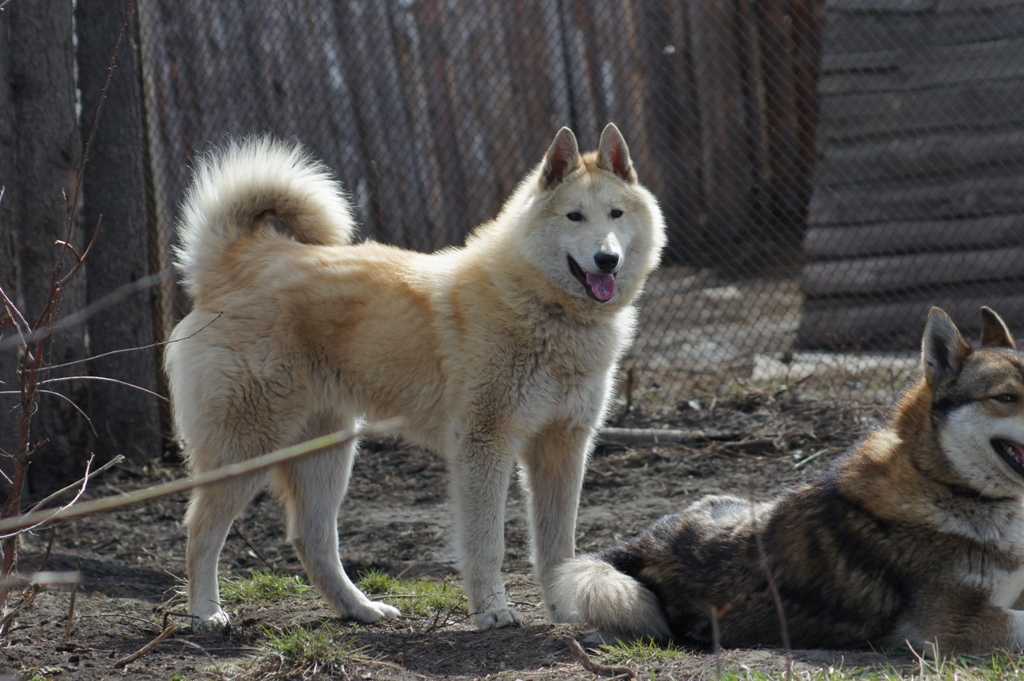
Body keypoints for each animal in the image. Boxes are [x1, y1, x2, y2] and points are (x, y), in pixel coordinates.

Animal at [163, 122, 667, 626]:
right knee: (201, 531)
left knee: (312, 540)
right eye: (574, 216)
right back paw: (206, 612)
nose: (607, 259)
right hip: (248, 448)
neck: (544, 307)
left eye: (616, 213)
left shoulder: (562, 447)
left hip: (327, 454)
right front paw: (493, 611)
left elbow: (559, 545)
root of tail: (239, 258)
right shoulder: (484, 446)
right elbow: (487, 543)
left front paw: (566, 609)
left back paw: (361, 609)